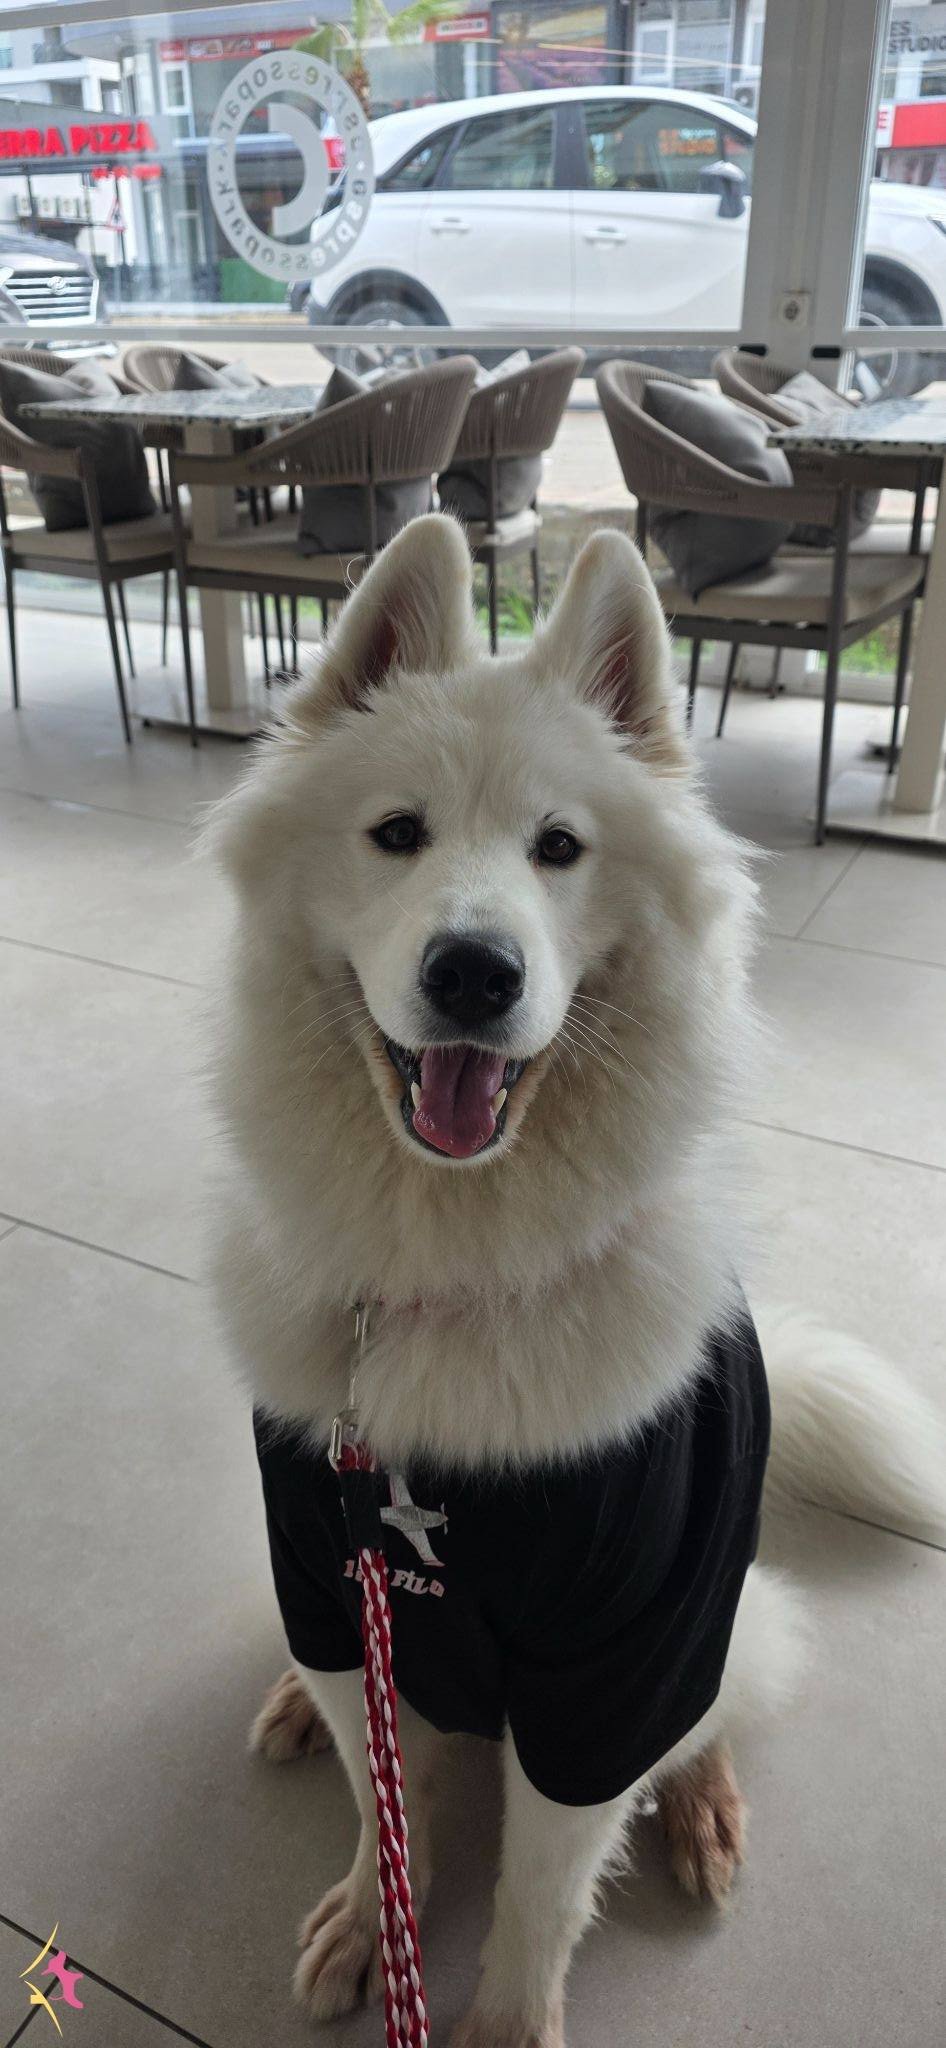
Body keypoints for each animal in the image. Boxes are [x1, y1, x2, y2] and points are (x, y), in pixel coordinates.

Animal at [207, 515, 944, 2047]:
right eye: (397, 834)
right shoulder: (334, 1578)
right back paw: (299, 1707)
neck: (448, 1256)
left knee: (713, 1714)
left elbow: (544, 1892)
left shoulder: (619, 1654)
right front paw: (370, 1912)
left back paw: (702, 1806)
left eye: (558, 849)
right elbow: (388, 1798)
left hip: (717, 1620)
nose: (473, 974)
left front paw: (502, 2021)